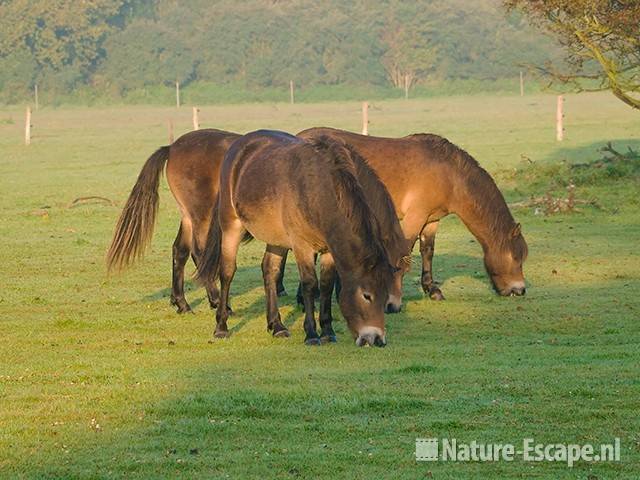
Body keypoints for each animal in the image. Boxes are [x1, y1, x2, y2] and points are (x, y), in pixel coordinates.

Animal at [195, 130, 404, 344]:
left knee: (270, 270)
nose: (377, 339)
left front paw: (327, 331)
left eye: (384, 295)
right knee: (227, 272)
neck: (318, 191)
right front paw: (311, 333)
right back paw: (221, 326)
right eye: (366, 295)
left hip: (276, 238)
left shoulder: (329, 249)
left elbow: (326, 285)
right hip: (231, 227)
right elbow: (310, 284)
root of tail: (239, 145)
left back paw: (277, 325)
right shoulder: (302, 246)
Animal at [296, 127, 528, 306]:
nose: (520, 290)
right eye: (516, 259)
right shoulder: (415, 216)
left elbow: (427, 251)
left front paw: (432, 289)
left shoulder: (431, 219)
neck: (450, 174)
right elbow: (403, 252)